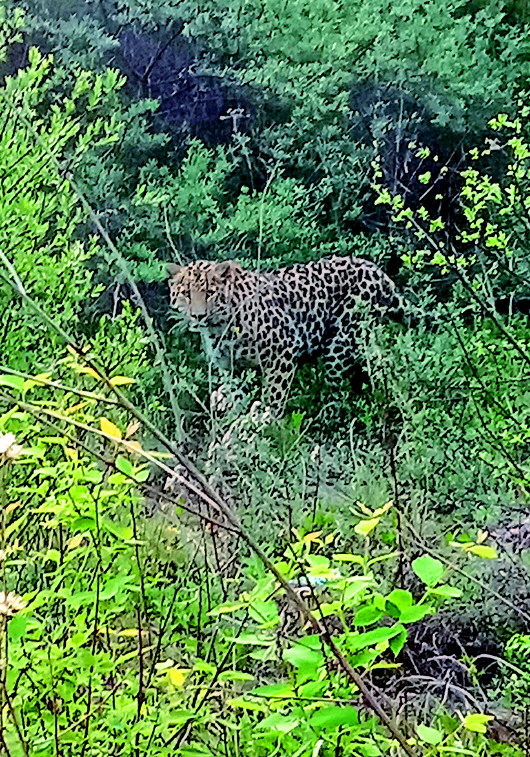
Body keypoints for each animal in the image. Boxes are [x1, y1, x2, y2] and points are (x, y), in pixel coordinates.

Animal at [167, 256, 402, 416]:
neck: (218, 329)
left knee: (339, 389)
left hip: (339, 345)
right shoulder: (230, 367)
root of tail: (378, 272)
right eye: (186, 294)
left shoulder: (282, 351)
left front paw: (267, 426)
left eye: (209, 293)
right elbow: (236, 397)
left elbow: (274, 396)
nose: (198, 316)